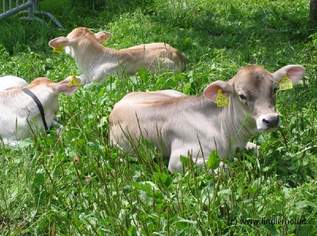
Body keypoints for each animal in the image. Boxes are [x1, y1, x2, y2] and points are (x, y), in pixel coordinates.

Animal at [109, 64, 304, 171]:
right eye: (242, 95)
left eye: (275, 89)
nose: (271, 119)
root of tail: (117, 105)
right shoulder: (178, 159)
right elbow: (225, 167)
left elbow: (257, 148)